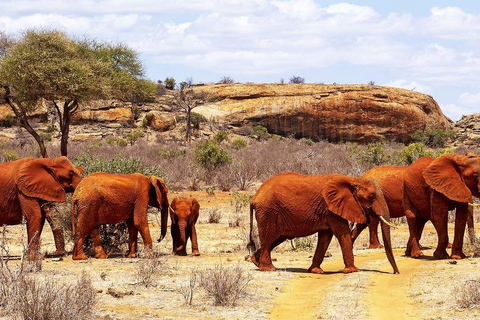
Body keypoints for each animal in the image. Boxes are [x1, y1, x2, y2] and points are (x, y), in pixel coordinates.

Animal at [249, 172, 400, 276]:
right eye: (372, 196)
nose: (396, 273)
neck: (353, 180)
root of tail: (254, 197)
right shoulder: (331, 208)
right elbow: (342, 233)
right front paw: (353, 270)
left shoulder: (329, 210)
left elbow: (325, 237)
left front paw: (316, 271)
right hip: (268, 211)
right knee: (269, 238)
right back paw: (268, 269)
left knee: (276, 238)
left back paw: (255, 261)